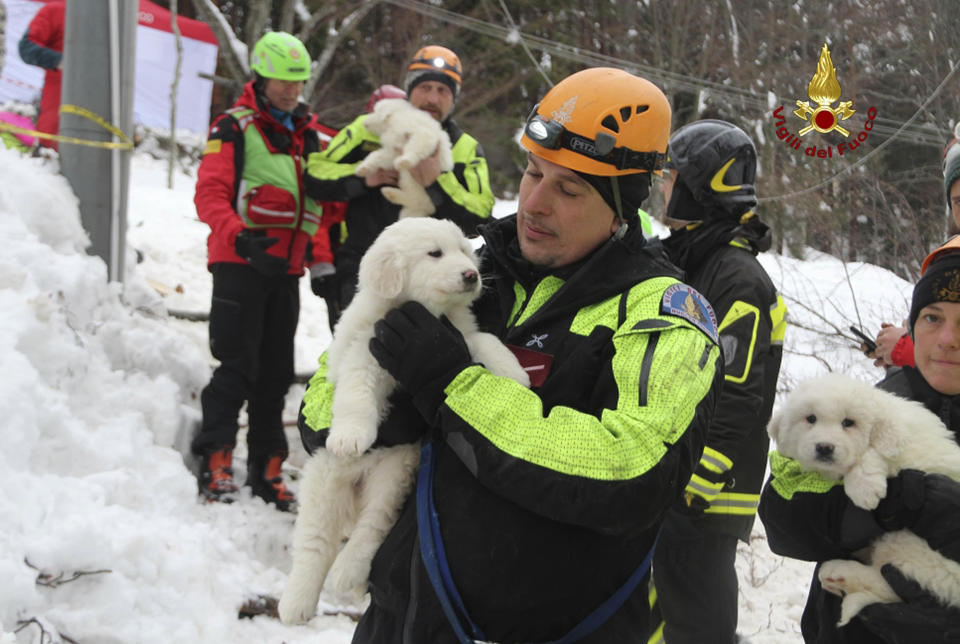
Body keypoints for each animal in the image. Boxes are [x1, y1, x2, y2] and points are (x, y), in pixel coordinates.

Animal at [768, 372, 960, 624]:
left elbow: (872, 453)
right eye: (811, 419)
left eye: (848, 423)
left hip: (911, 544)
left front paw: (865, 487)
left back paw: (838, 572)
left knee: (894, 583)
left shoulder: (903, 449)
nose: (824, 447)